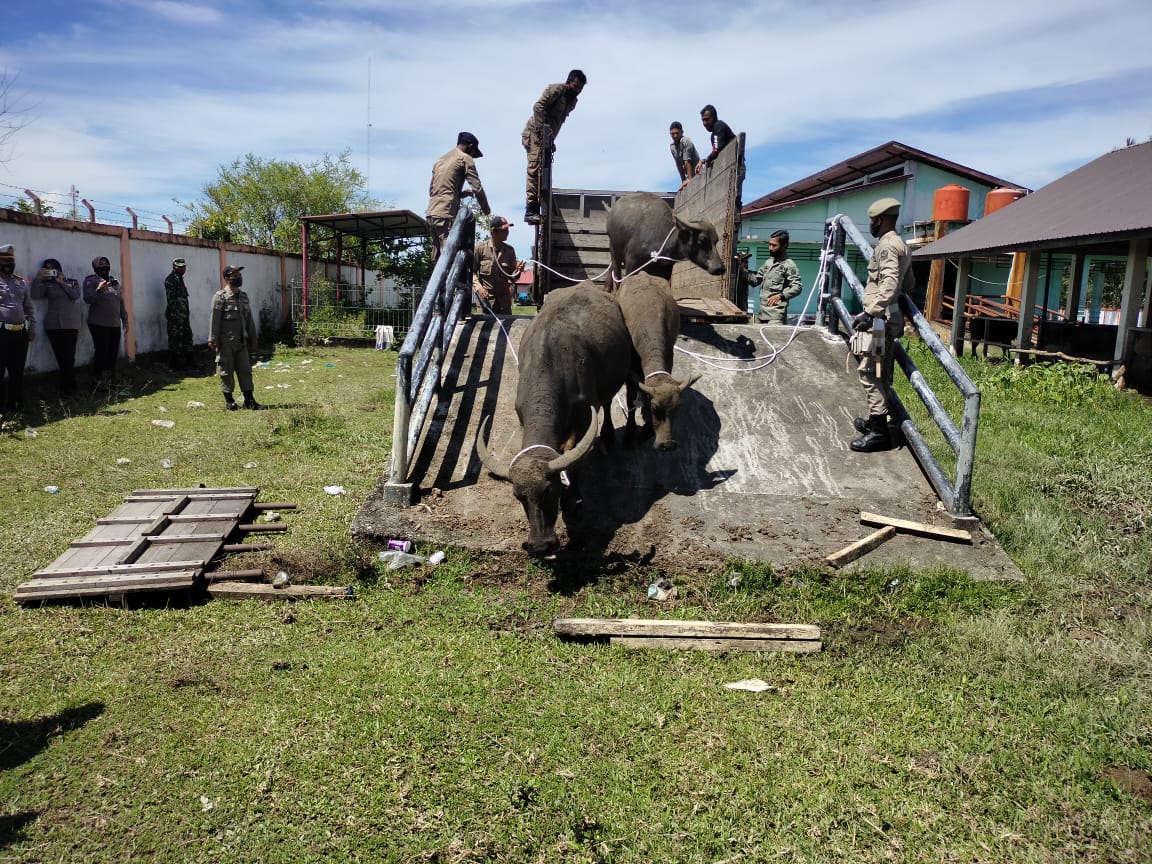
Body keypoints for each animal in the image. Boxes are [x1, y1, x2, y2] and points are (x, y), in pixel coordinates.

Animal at [472, 281, 631, 557]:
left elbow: (575, 460)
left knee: (608, 403)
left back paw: (608, 438)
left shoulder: (584, 418)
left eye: (549, 491)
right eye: (518, 496)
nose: (540, 546)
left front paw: (573, 499)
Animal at [622, 274, 700, 453]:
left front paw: (646, 431)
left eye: (678, 408)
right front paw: (629, 432)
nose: (668, 444)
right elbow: (631, 400)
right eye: (655, 408)